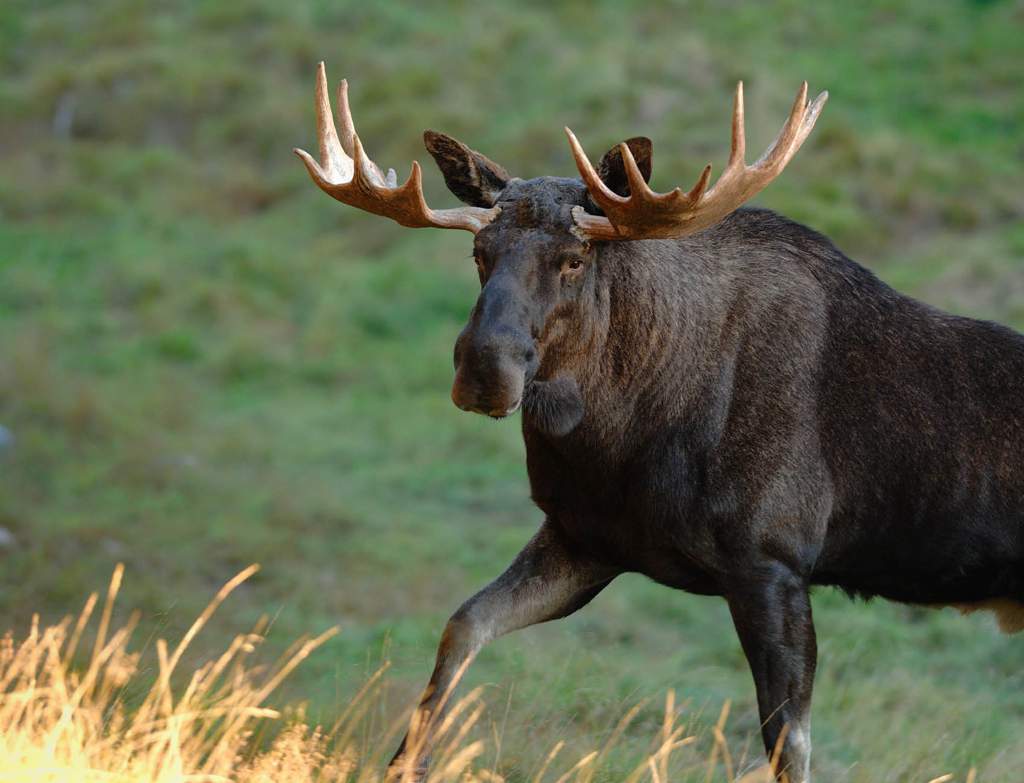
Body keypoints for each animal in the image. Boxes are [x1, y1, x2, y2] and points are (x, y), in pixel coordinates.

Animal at [292, 64, 1019, 777]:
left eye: (574, 259)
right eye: (479, 253)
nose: (482, 370)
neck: (620, 442)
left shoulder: (773, 560)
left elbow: (790, 744)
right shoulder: (586, 538)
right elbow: (463, 626)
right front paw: (403, 763)